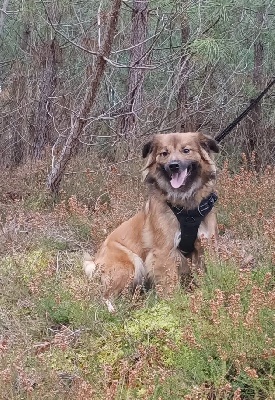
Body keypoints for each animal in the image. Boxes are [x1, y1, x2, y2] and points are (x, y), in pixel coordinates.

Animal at [84, 132, 220, 312]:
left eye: (186, 150)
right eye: (164, 153)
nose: (173, 166)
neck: (185, 205)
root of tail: (96, 260)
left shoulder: (205, 244)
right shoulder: (164, 251)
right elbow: (170, 284)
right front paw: (174, 304)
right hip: (130, 264)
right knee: (106, 295)